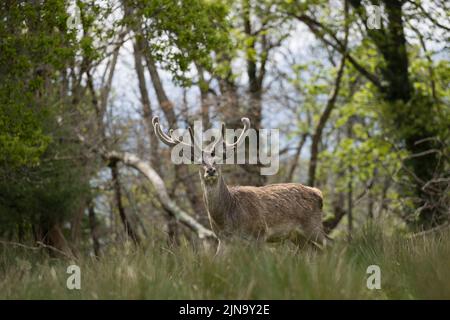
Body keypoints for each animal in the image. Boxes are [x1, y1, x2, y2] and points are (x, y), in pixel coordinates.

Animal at [152, 115, 326, 250]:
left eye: (218, 161)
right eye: (200, 163)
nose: (211, 170)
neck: (228, 219)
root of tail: (318, 193)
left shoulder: (259, 233)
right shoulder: (223, 239)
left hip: (313, 226)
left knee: (329, 246)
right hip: (298, 237)